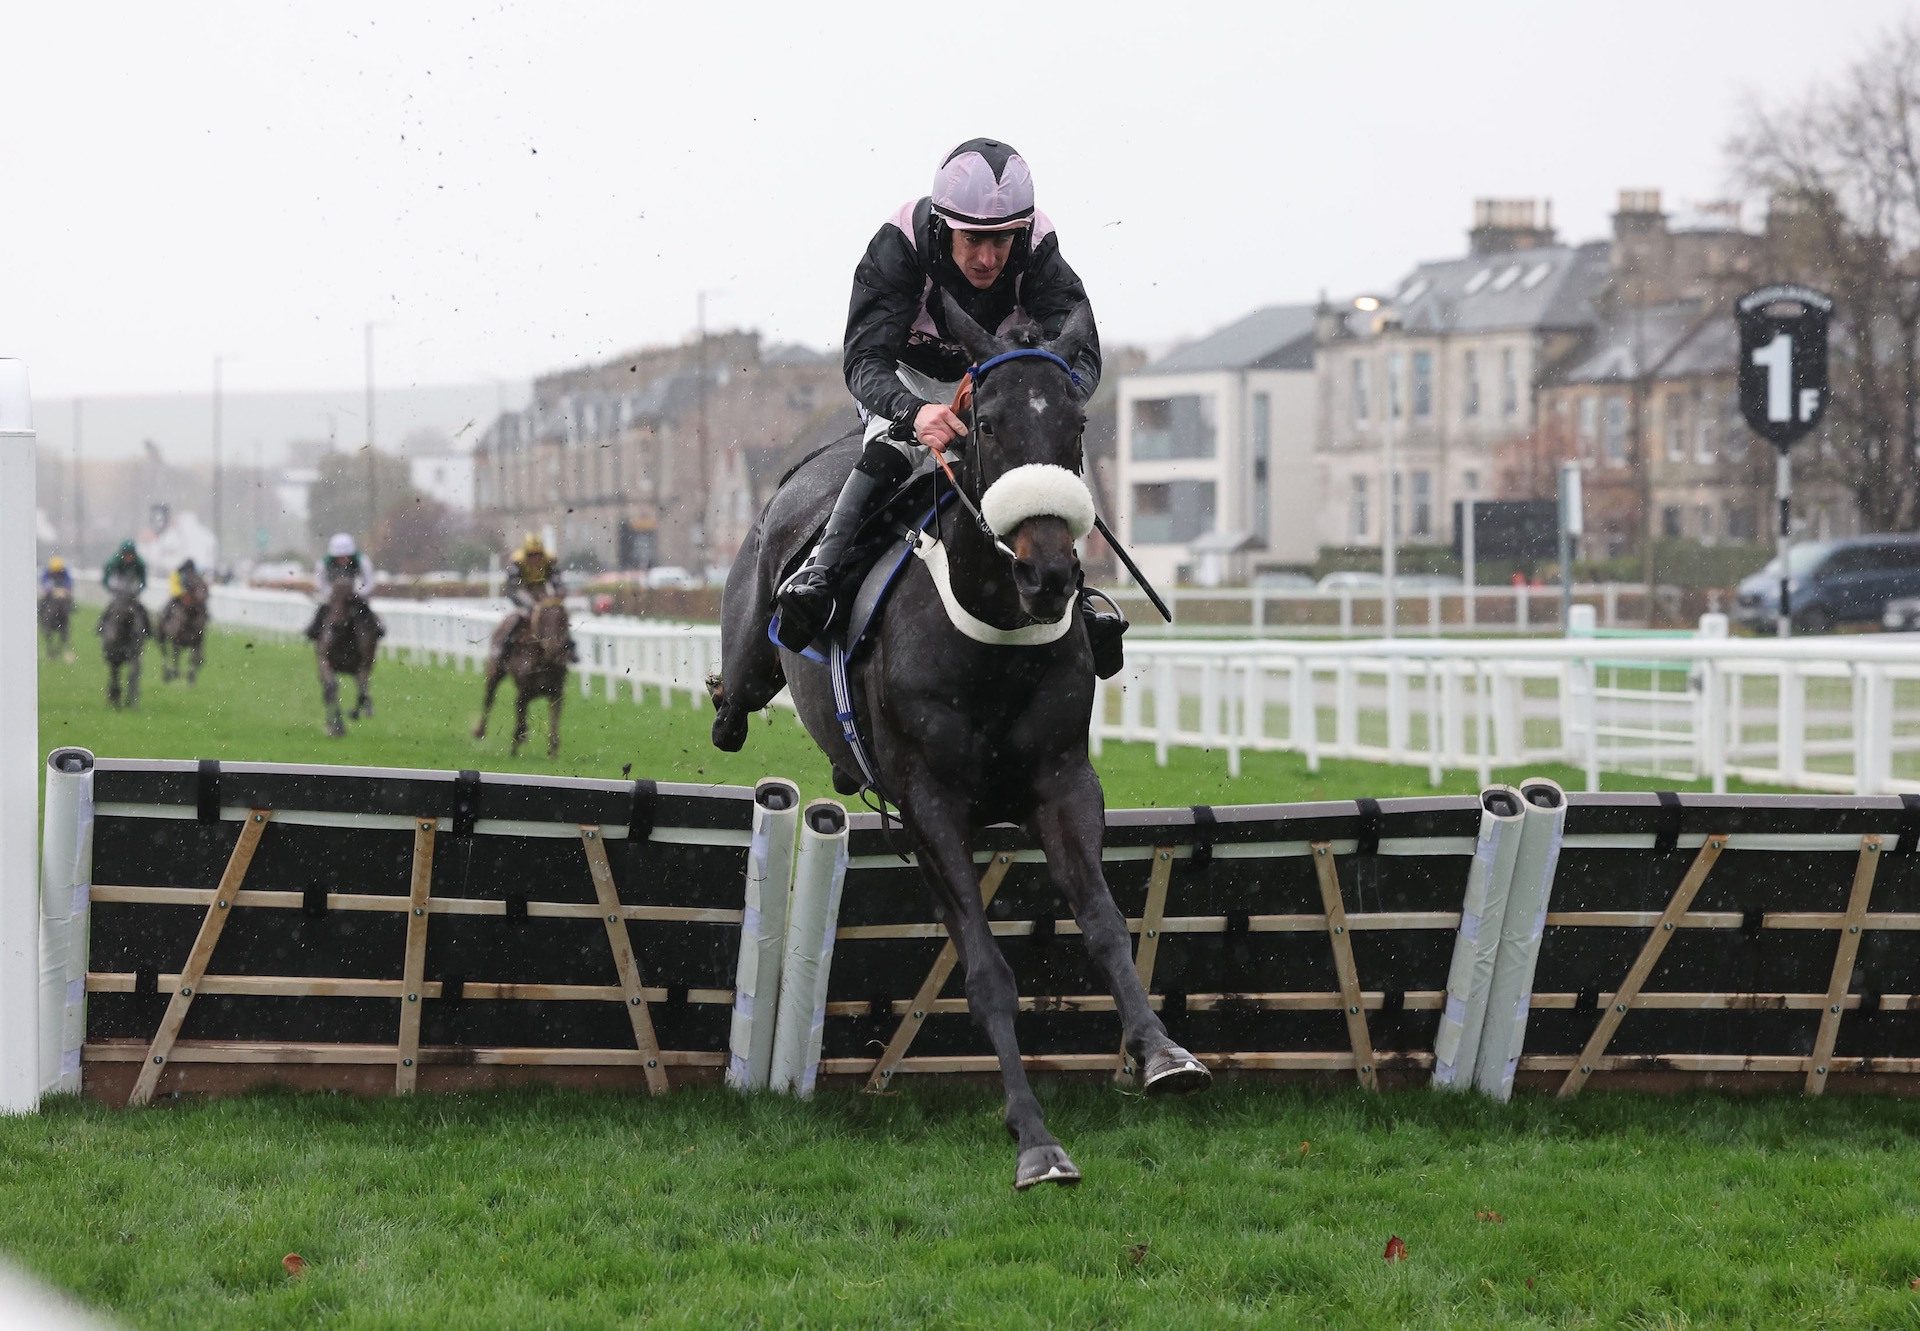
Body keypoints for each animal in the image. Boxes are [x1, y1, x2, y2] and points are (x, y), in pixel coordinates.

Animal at [311, 576, 374, 733]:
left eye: (349, 600)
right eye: (331, 598)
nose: (336, 625)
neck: (345, 641)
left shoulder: (363, 665)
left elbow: (362, 690)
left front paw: (354, 713)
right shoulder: (325, 661)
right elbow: (332, 688)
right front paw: (338, 727)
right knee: (327, 692)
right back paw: (331, 725)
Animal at [474, 595, 568, 752]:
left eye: (564, 618)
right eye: (542, 618)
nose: (554, 647)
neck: (543, 663)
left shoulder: (556, 693)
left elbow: (554, 726)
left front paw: (553, 750)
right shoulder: (523, 692)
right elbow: (519, 720)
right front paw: (516, 746)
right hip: (494, 672)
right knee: (489, 699)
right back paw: (479, 732)